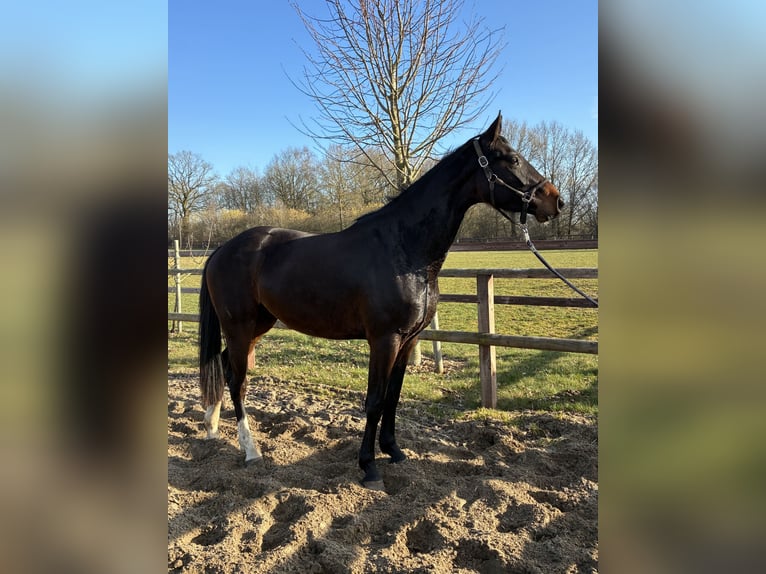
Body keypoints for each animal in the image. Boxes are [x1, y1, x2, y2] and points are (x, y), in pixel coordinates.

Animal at [198, 113, 563, 488]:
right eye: (513, 159)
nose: (556, 201)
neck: (404, 248)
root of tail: (222, 250)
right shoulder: (384, 340)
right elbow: (374, 401)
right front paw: (369, 466)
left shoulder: (408, 339)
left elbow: (393, 397)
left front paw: (394, 451)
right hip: (239, 327)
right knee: (238, 380)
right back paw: (250, 449)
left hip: (258, 325)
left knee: (223, 366)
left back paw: (211, 425)